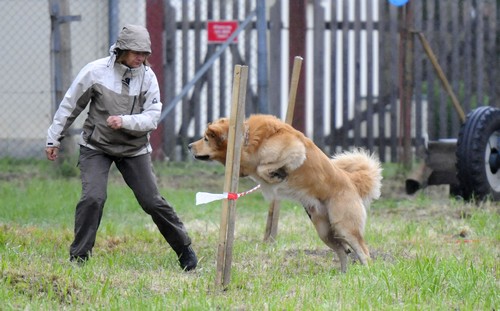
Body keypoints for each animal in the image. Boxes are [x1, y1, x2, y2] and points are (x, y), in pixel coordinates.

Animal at [188, 114, 382, 272]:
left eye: (205, 138)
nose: (189, 146)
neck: (247, 139)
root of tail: (351, 181)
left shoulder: (296, 150)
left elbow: (264, 167)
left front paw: (277, 176)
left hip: (344, 226)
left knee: (363, 252)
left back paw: (366, 272)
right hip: (324, 230)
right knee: (342, 250)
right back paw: (343, 273)